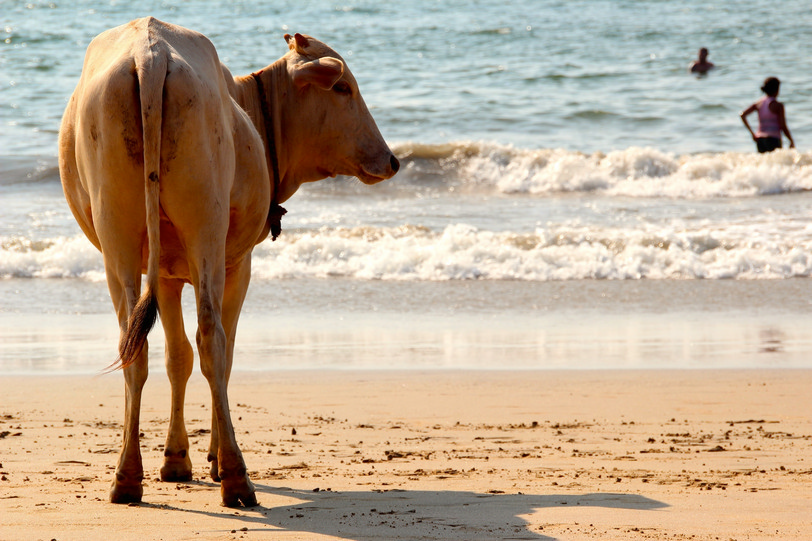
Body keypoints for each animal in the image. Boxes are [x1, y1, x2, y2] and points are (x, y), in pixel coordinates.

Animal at [57, 17, 399, 507]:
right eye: (343, 88)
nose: (392, 160)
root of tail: (150, 53)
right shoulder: (239, 263)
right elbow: (222, 353)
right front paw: (211, 458)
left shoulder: (164, 273)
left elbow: (176, 357)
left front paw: (176, 459)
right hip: (207, 234)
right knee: (213, 341)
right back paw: (236, 477)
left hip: (118, 236)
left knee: (134, 345)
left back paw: (127, 476)